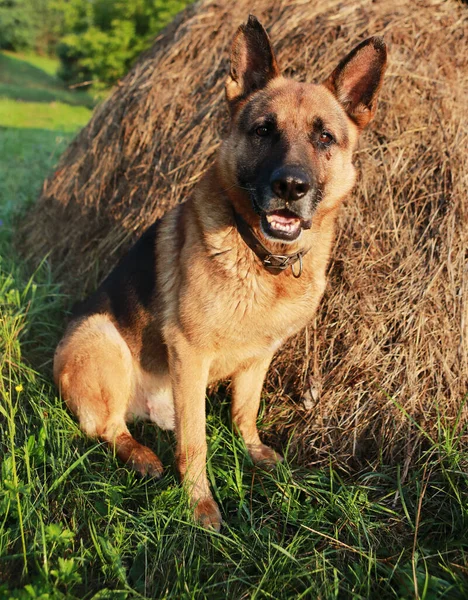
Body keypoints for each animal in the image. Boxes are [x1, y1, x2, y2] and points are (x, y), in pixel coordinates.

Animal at [53, 15, 388, 528]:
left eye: (324, 137)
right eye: (264, 130)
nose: (290, 187)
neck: (261, 259)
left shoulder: (260, 355)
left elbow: (244, 412)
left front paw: (254, 452)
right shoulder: (189, 354)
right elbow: (195, 444)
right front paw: (200, 505)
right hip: (102, 337)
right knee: (108, 428)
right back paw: (142, 456)